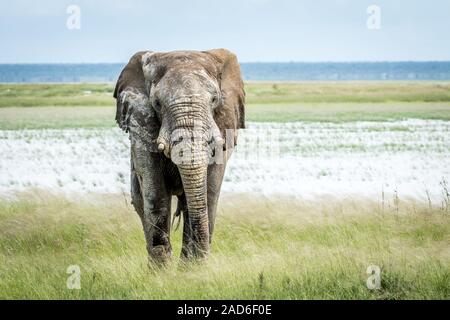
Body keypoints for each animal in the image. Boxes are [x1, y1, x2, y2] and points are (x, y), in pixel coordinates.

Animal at [114, 48, 244, 264]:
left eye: (214, 99)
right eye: (157, 103)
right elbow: (155, 191)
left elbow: (209, 189)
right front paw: (163, 270)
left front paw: (193, 268)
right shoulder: (141, 121)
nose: (202, 259)